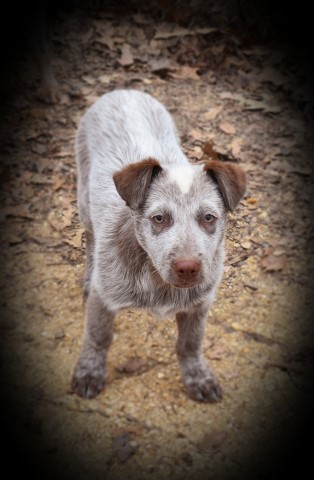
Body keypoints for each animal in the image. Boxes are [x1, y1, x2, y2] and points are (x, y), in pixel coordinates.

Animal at [71, 89, 245, 402]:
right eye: (159, 218)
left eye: (209, 218)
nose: (187, 268)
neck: (154, 276)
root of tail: (123, 91)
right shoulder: (104, 299)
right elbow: (98, 337)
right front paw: (89, 371)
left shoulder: (199, 305)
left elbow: (190, 344)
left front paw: (197, 377)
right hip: (84, 201)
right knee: (90, 238)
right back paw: (89, 276)